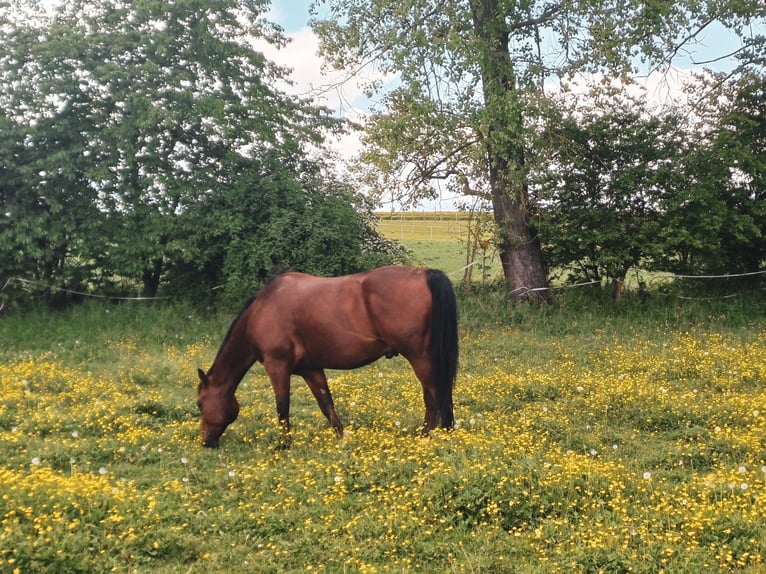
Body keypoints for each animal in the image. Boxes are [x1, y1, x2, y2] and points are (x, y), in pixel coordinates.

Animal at [196, 265, 459, 448]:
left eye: (199, 403)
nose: (206, 442)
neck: (262, 310)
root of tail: (425, 273)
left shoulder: (277, 365)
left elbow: (282, 407)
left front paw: (283, 445)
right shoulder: (311, 369)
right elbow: (326, 404)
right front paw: (342, 436)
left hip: (420, 359)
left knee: (434, 397)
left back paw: (425, 436)